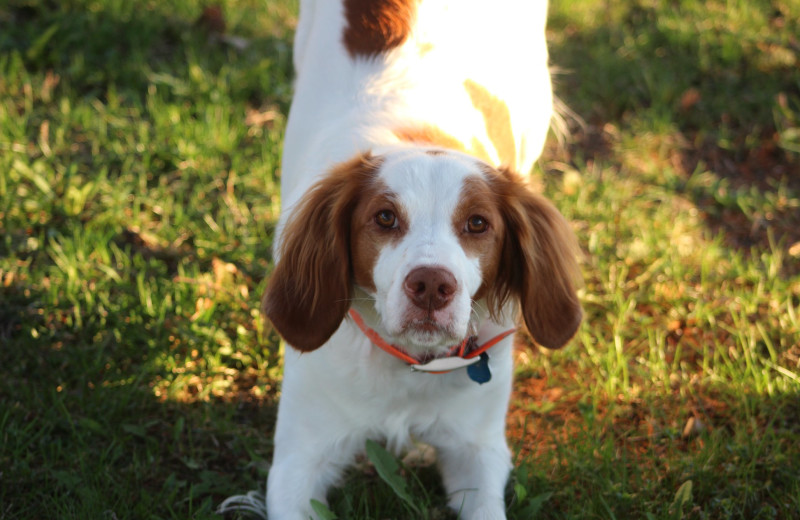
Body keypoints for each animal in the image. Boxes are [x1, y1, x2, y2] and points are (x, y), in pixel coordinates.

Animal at [222, 1, 584, 520]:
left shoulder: (478, 449)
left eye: (478, 223)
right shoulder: (299, 457)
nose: (432, 285)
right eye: (385, 217)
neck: (409, 363)